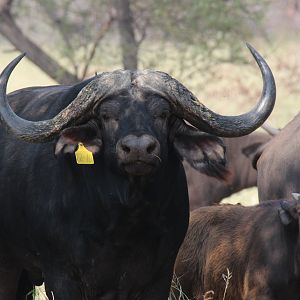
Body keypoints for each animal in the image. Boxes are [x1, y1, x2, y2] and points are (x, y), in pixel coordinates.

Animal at [0, 44, 276, 300]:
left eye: (162, 113)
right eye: (106, 115)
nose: (138, 149)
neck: (124, 219)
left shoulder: (160, 275)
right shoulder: (61, 275)